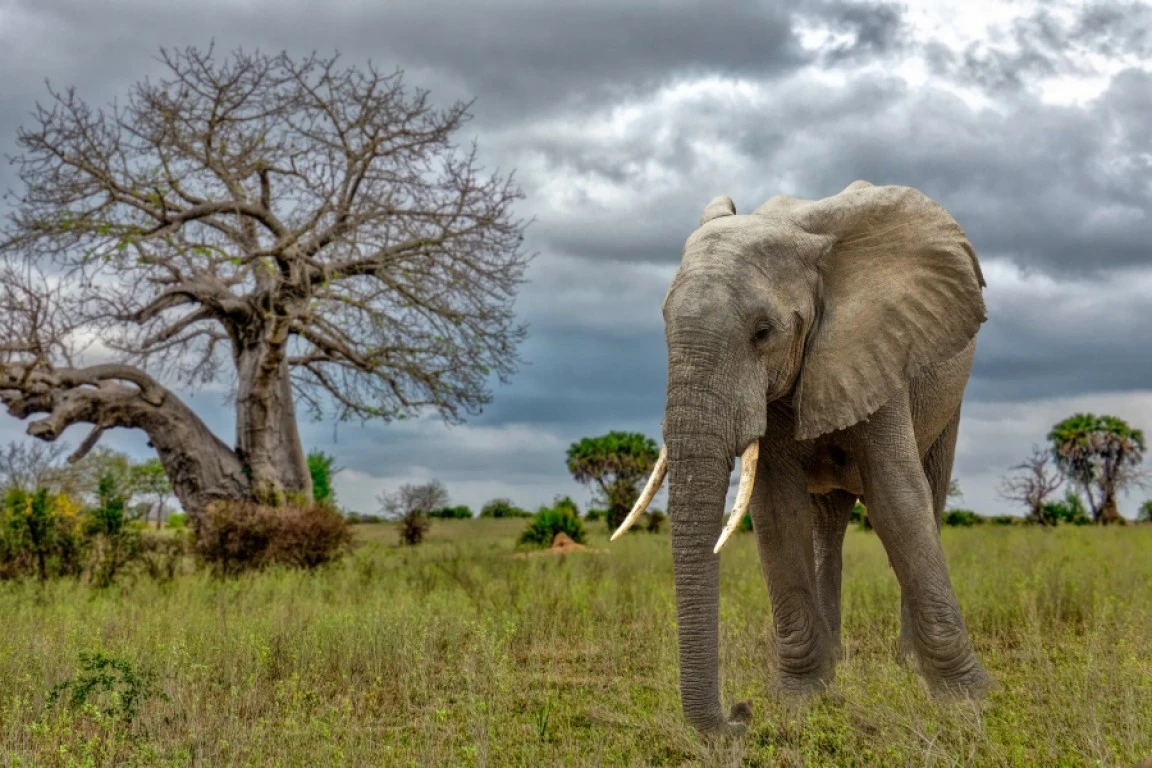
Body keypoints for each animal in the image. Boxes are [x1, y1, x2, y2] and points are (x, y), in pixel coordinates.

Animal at [612, 180, 994, 736]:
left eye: (763, 332)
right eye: (663, 325)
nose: (740, 713)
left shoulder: (876, 345)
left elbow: (898, 502)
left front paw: (970, 699)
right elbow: (778, 513)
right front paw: (801, 699)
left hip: (947, 391)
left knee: (931, 492)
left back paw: (907, 661)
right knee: (826, 524)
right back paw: (836, 663)